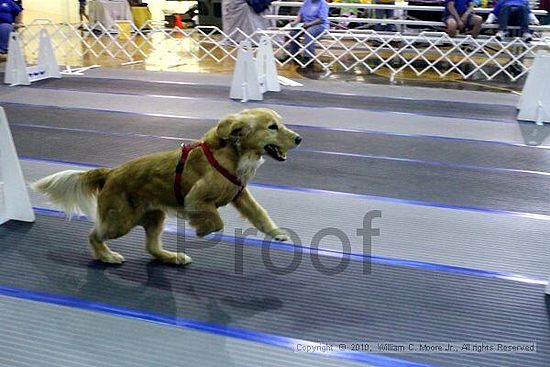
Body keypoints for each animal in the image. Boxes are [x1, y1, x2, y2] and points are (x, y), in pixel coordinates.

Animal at [32, 108, 304, 266]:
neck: (233, 152)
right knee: (93, 234)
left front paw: (276, 233)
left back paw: (172, 257)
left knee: (151, 246)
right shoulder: (196, 198)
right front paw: (201, 229)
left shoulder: (241, 195)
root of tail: (110, 172)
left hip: (154, 216)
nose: (300, 139)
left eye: (281, 123)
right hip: (120, 221)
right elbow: (217, 222)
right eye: (272, 127)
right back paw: (107, 256)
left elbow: (260, 214)